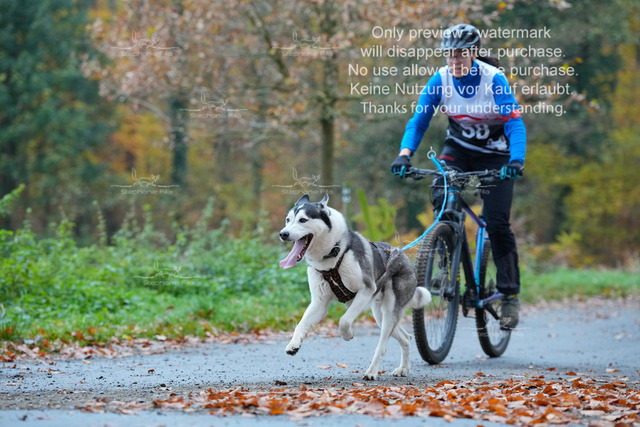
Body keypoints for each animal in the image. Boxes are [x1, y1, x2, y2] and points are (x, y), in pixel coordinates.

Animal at [279, 194, 430, 380]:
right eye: (288, 220)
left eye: (303, 220)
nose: (283, 234)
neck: (333, 254)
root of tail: (404, 256)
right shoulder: (319, 303)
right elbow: (301, 324)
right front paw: (294, 344)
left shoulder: (366, 290)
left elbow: (344, 320)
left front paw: (348, 334)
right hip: (380, 316)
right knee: (406, 337)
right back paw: (404, 369)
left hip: (389, 313)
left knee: (382, 346)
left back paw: (372, 372)